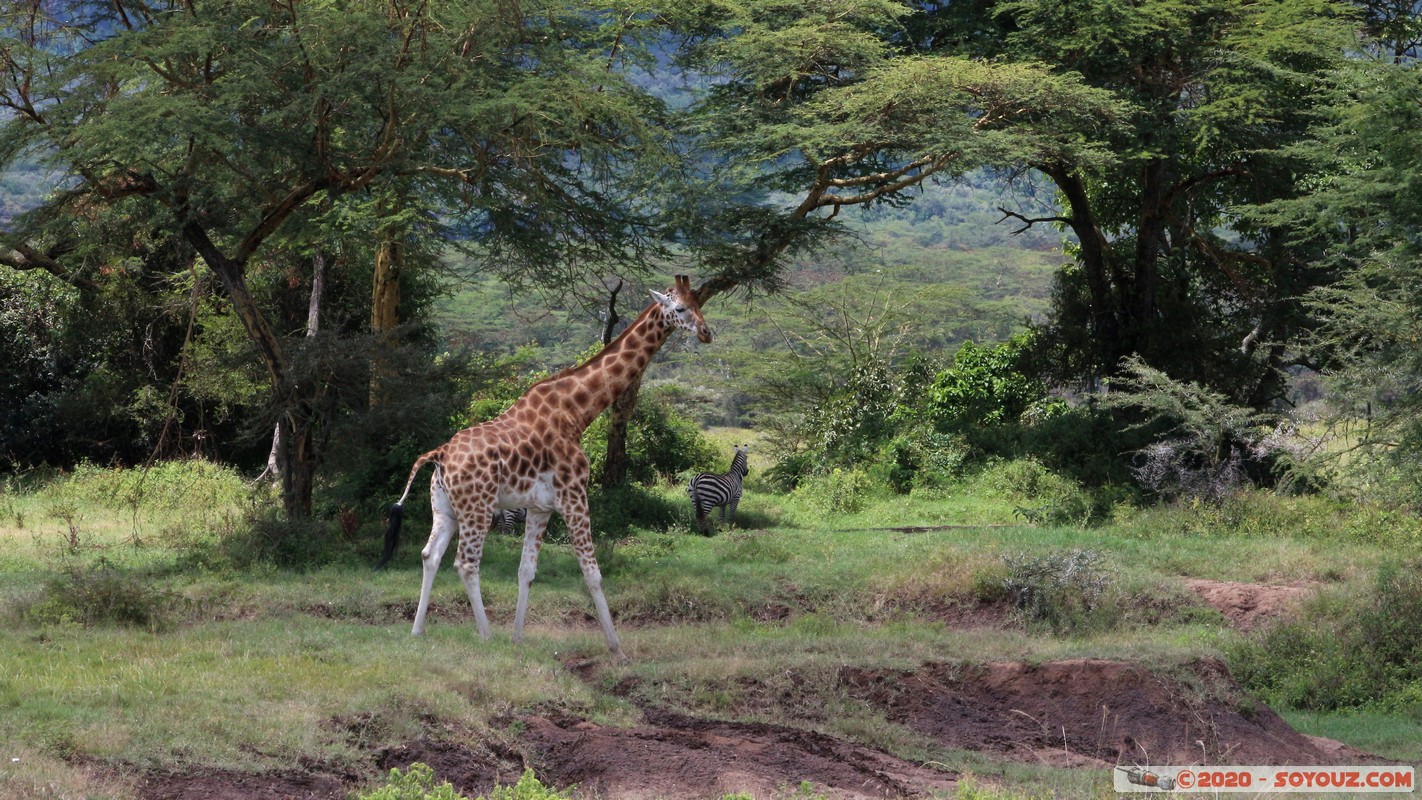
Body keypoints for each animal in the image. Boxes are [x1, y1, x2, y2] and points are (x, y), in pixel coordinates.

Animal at [377, 275, 712, 662]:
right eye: (680, 308)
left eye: (700, 303)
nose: (707, 332)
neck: (577, 412)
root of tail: (441, 454)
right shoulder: (575, 497)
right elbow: (592, 573)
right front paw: (617, 650)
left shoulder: (540, 508)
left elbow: (527, 571)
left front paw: (518, 638)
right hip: (478, 509)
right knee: (465, 563)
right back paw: (485, 635)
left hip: (445, 509)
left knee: (430, 555)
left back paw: (418, 631)